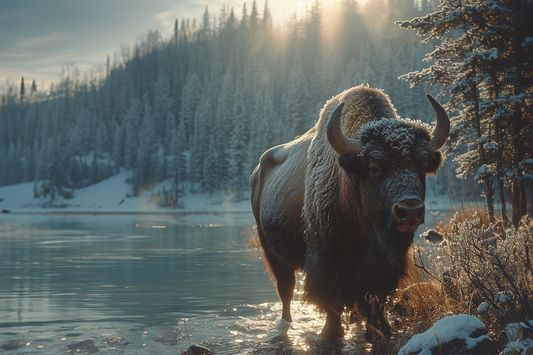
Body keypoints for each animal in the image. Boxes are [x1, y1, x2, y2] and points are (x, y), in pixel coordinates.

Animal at [249, 85, 448, 344]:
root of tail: (257, 171)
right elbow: (333, 298)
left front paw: (379, 330)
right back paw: (287, 324)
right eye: (374, 167)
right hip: (273, 253)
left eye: (422, 167)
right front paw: (331, 332)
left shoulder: (388, 265)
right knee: (286, 291)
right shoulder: (327, 258)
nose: (410, 211)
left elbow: (376, 297)